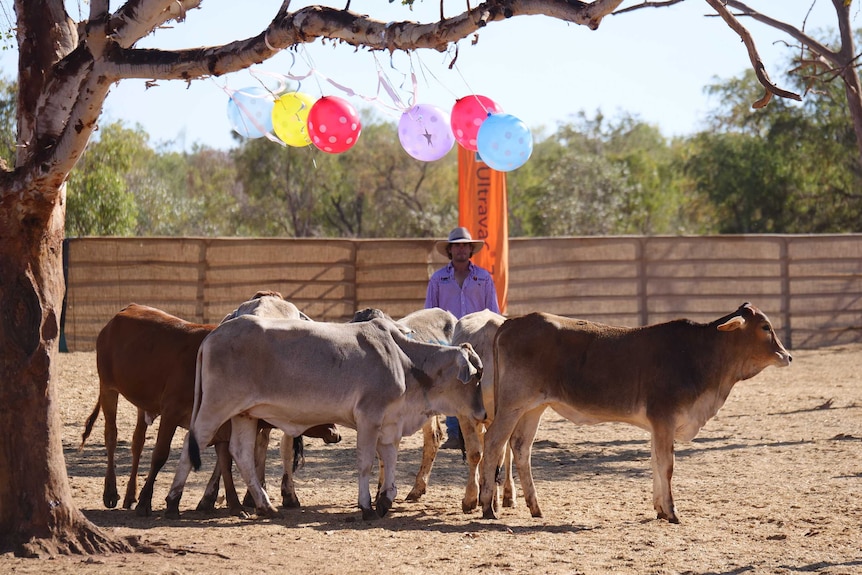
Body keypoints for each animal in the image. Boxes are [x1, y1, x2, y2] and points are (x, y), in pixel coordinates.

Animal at [482, 304, 792, 524]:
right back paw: (487, 506)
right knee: (494, 443)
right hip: (513, 405)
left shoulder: (658, 426)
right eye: (765, 327)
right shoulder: (664, 420)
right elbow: (667, 465)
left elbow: (655, 463)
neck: (700, 355)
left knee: (520, 448)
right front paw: (672, 512)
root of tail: (512, 322)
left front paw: (660, 510)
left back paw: (536, 508)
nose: (787, 356)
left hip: (533, 408)